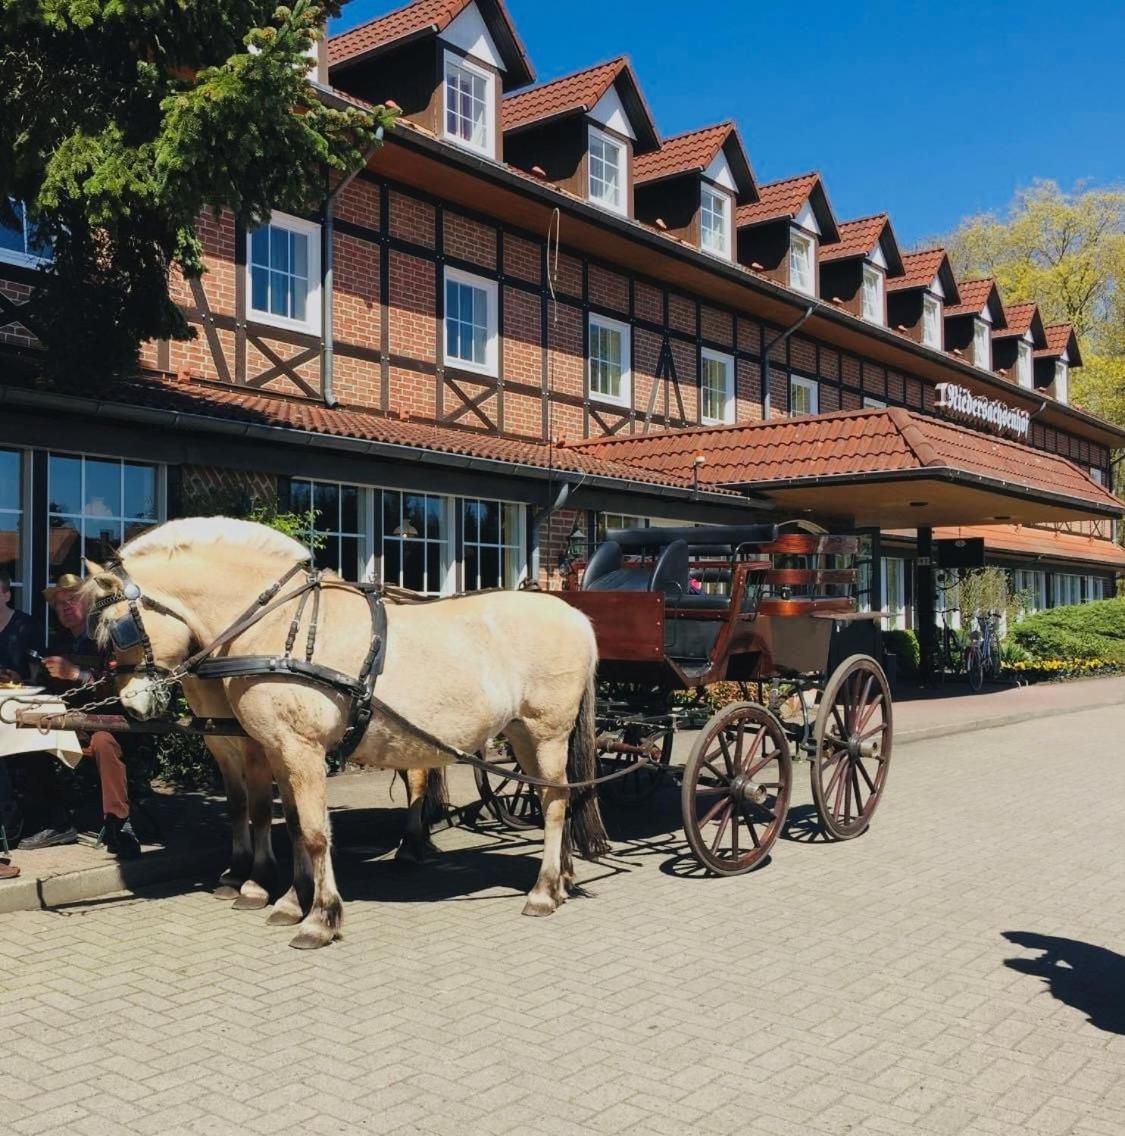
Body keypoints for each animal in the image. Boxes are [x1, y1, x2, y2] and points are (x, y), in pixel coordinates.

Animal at [83, 520, 613, 945]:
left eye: (117, 627)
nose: (132, 705)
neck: (279, 623)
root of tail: (576, 616)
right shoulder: (277, 749)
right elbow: (294, 825)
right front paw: (290, 901)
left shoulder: (299, 748)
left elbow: (316, 832)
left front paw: (319, 917)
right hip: (522, 733)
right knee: (549, 794)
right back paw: (560, 880)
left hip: (547, 731)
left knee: (555, 803)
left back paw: (542, 891)